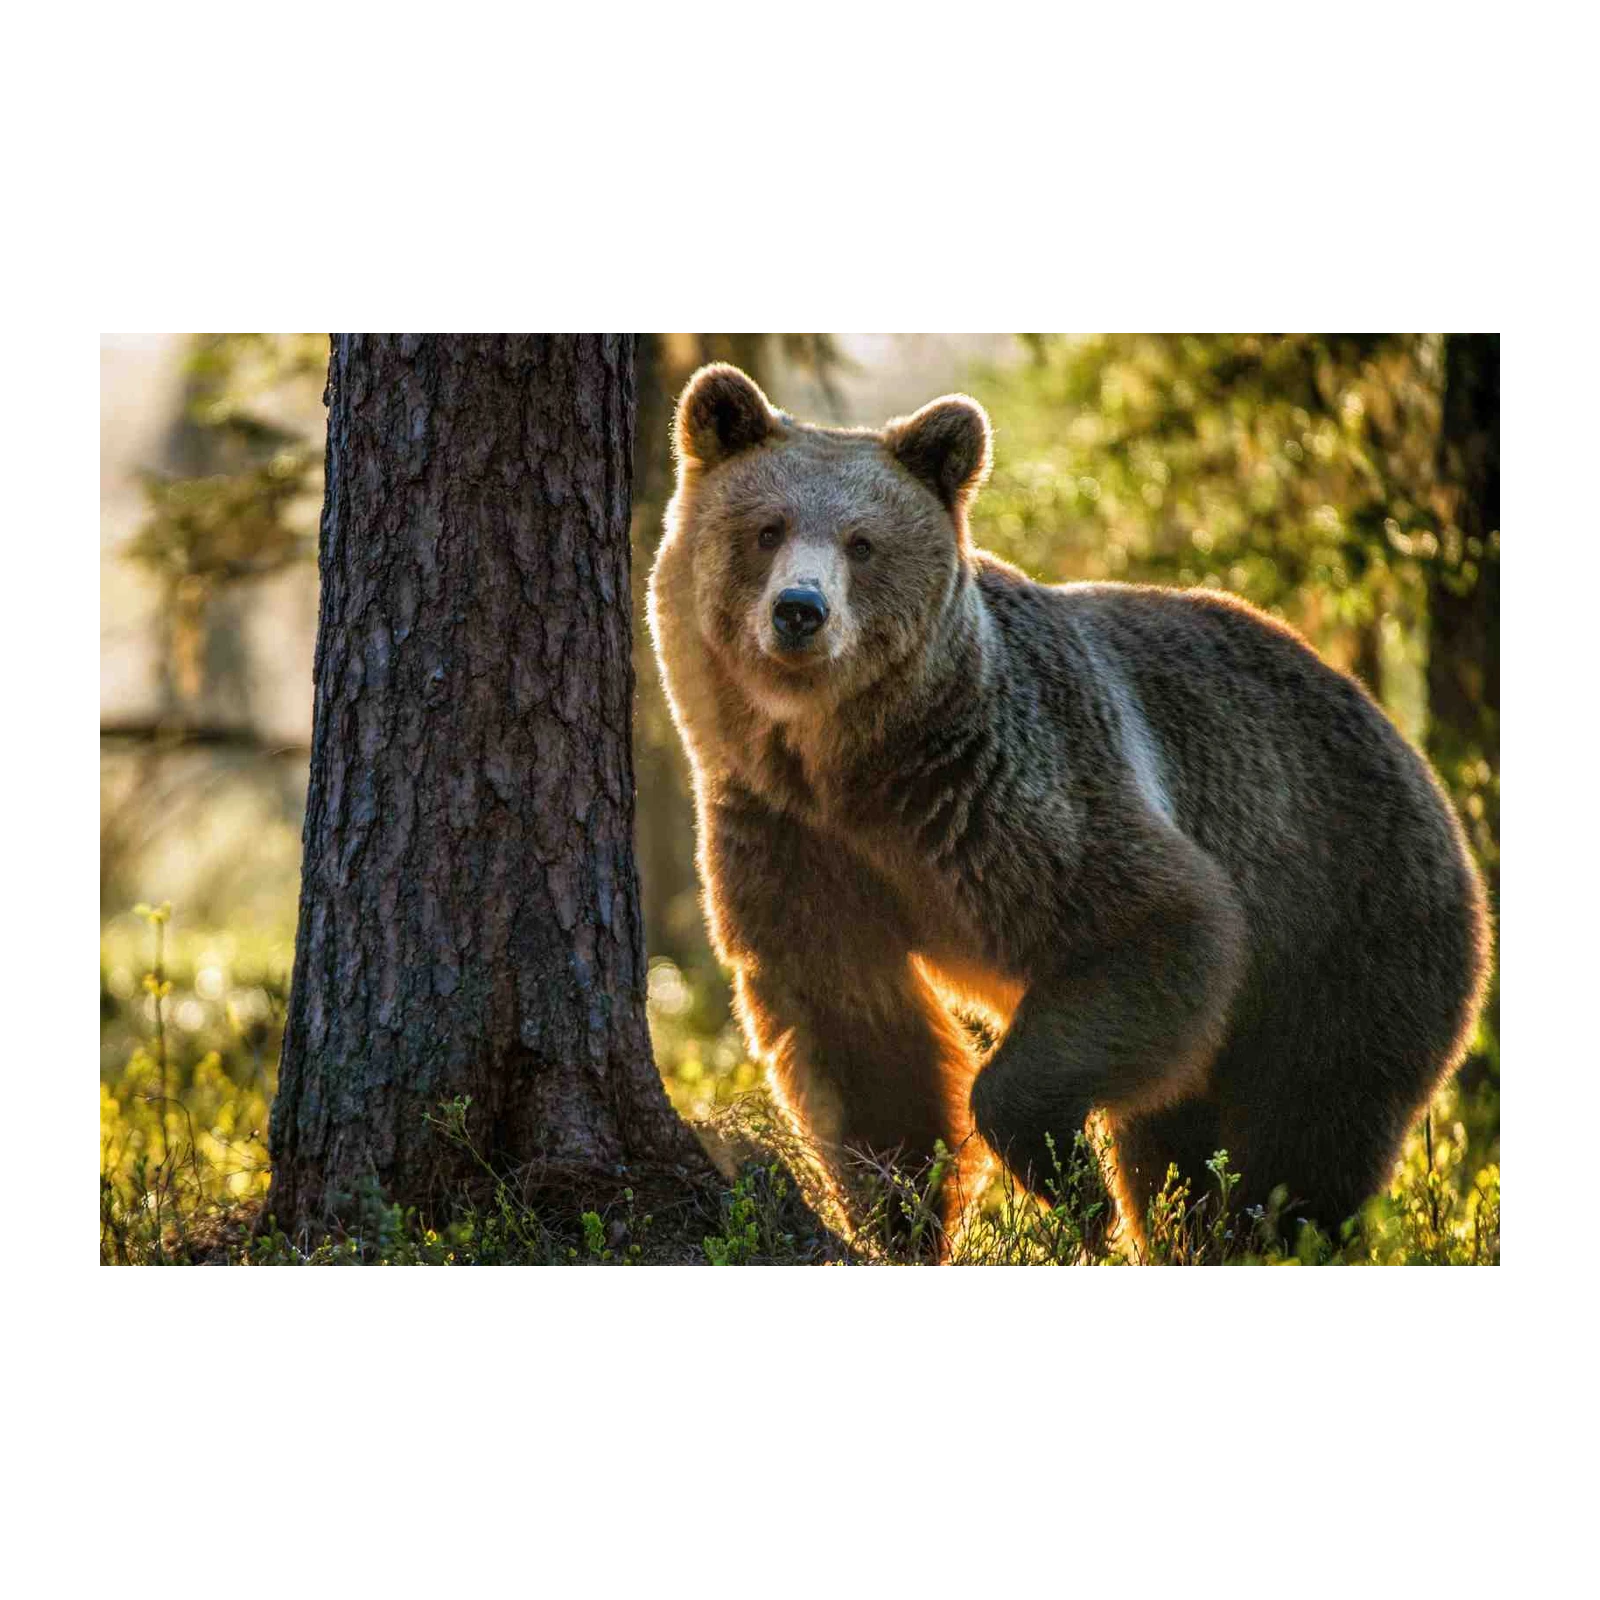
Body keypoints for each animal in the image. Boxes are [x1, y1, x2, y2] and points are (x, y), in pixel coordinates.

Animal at [647, 361, 1491, 1257]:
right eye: (767, 529)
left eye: (862, 543)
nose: (801, 611)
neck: (855, 765)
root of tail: (1412, 753)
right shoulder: (792, 836)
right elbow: (856, 1034)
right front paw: (905, 1217)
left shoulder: (1005, 791)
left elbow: (1156, 922)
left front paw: (1073, 1194)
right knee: (1180, 1148)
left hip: (1343, 921)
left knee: (1302, 1134)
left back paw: (1266, 1236)